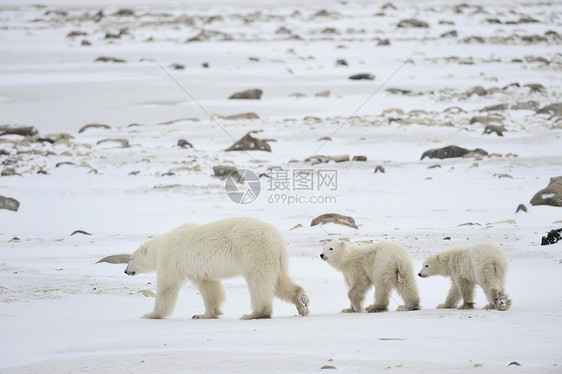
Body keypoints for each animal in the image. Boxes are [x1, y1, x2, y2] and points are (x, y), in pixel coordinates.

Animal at [124, 218, 308, 320]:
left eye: (130, 258)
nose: (125, 271)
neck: (159, 245)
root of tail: (277, 237)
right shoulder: (198, 269)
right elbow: (209, 287)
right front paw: (203, 314)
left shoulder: (169, 258)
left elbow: (166, 287)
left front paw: (150, 314)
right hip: (274, 257)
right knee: (279, 280)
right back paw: (301, 301)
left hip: (254, 251)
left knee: (259, 281)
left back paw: (254, 313)